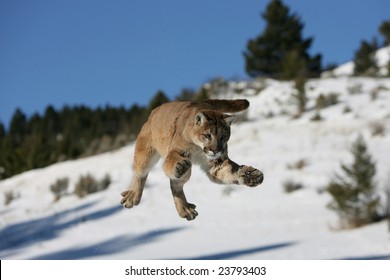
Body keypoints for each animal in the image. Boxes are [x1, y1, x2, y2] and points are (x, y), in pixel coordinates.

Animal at [120, 99, 264, 220]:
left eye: (223, 136)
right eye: (207, 135)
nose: (215, 150)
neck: (198, 148)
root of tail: (155, 110)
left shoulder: (216, 163)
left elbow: (230, 171)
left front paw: (250, 175)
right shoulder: (175, 151)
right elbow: (171, 162)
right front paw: (179, 165)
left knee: (175, 185)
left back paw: (184, 209)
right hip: (145, 154)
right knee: (140, 174)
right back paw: (132, 196)